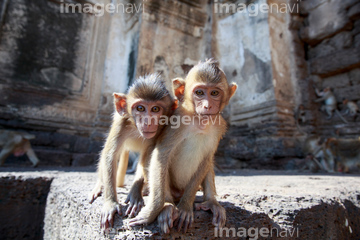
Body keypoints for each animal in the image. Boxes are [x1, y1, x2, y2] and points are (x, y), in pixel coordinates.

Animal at [128, 59, 238, 233]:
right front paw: (153, 211)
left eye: (214, 93)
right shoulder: (176, 122)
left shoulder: (219, 126)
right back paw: (167, 206)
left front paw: (186, 207)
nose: (207, 106)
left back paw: (211, 202)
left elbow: (207, 158)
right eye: (199, 93)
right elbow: (161, 155)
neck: (199, 121)